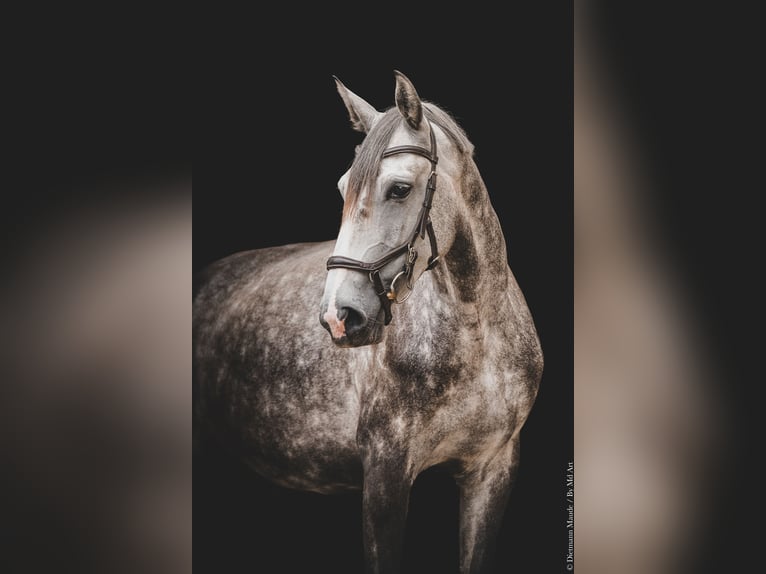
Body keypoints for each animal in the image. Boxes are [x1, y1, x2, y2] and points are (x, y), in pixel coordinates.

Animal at [193, 70, 543, 574]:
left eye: (399, 189)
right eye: (343, 189)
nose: (339, 316)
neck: (477, 339)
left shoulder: (491, 470)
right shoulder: (385, 474)